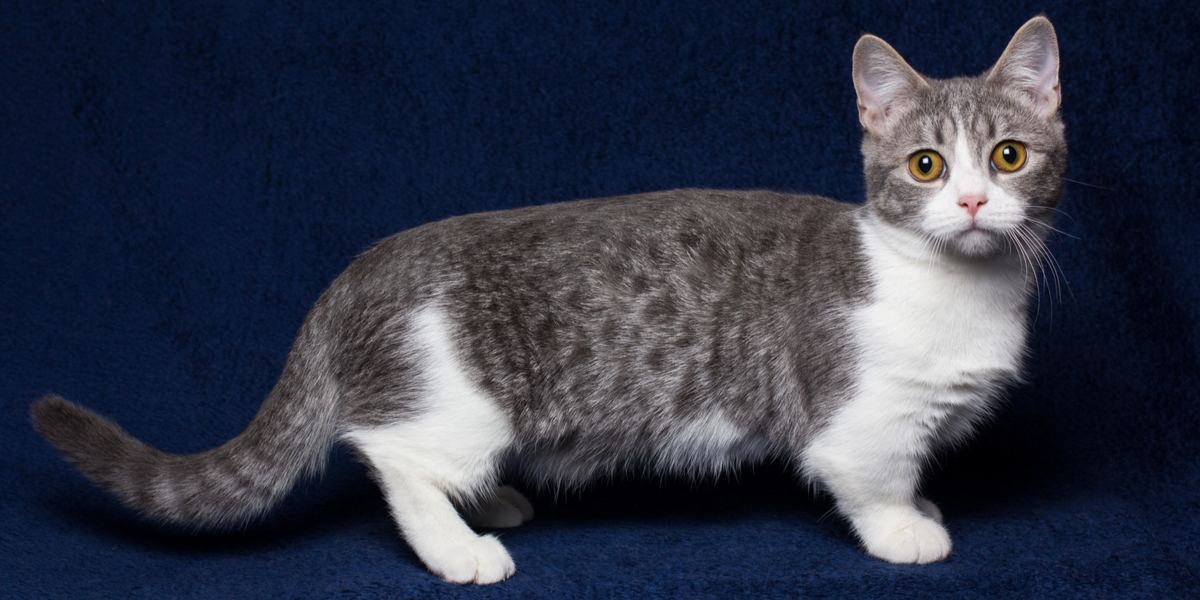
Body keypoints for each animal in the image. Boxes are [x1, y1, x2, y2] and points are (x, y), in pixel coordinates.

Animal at [28, 16, 1065, 583]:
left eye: (1009, 155)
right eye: (926, 166)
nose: (974, 202)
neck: (959, 287)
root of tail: (366, 266)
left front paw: (923, 506)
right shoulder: (861, 418)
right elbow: (872, 477)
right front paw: (905, 529)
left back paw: (490, 504)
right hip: (460, 402)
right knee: (391, 457)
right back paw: (460, 549)